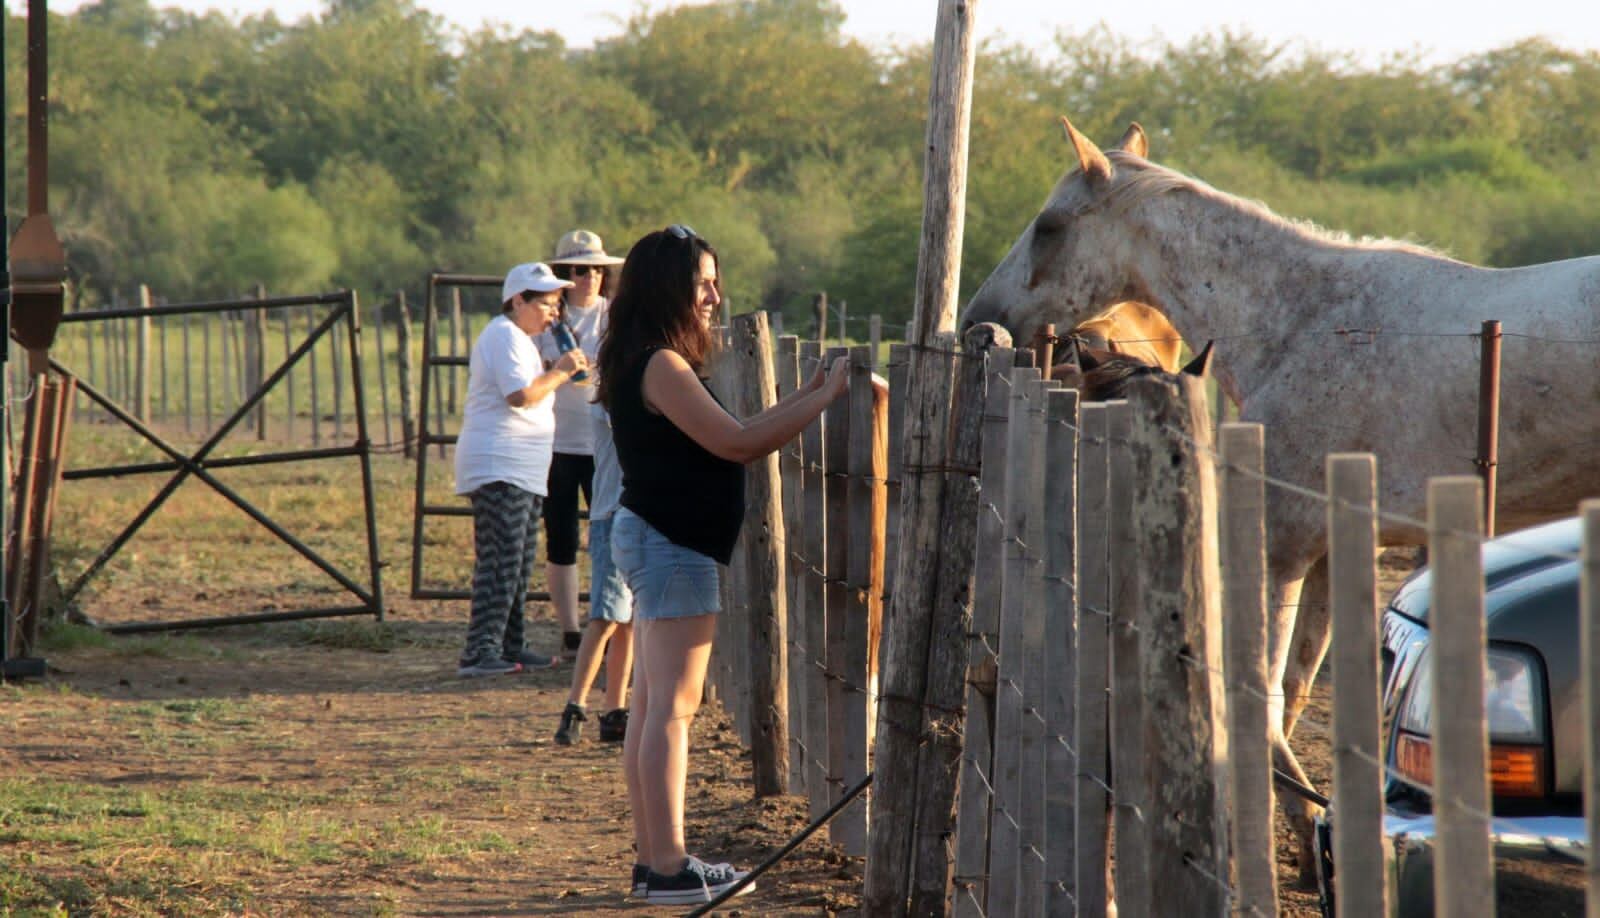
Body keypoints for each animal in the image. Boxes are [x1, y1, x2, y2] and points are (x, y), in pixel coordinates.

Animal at [953, 116, 1600, 882]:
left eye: (1049, 226)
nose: (978, 321)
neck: (1304, 321)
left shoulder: (1279, 552)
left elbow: (1257, 696)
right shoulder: (1330, 553)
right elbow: (1291, 691)